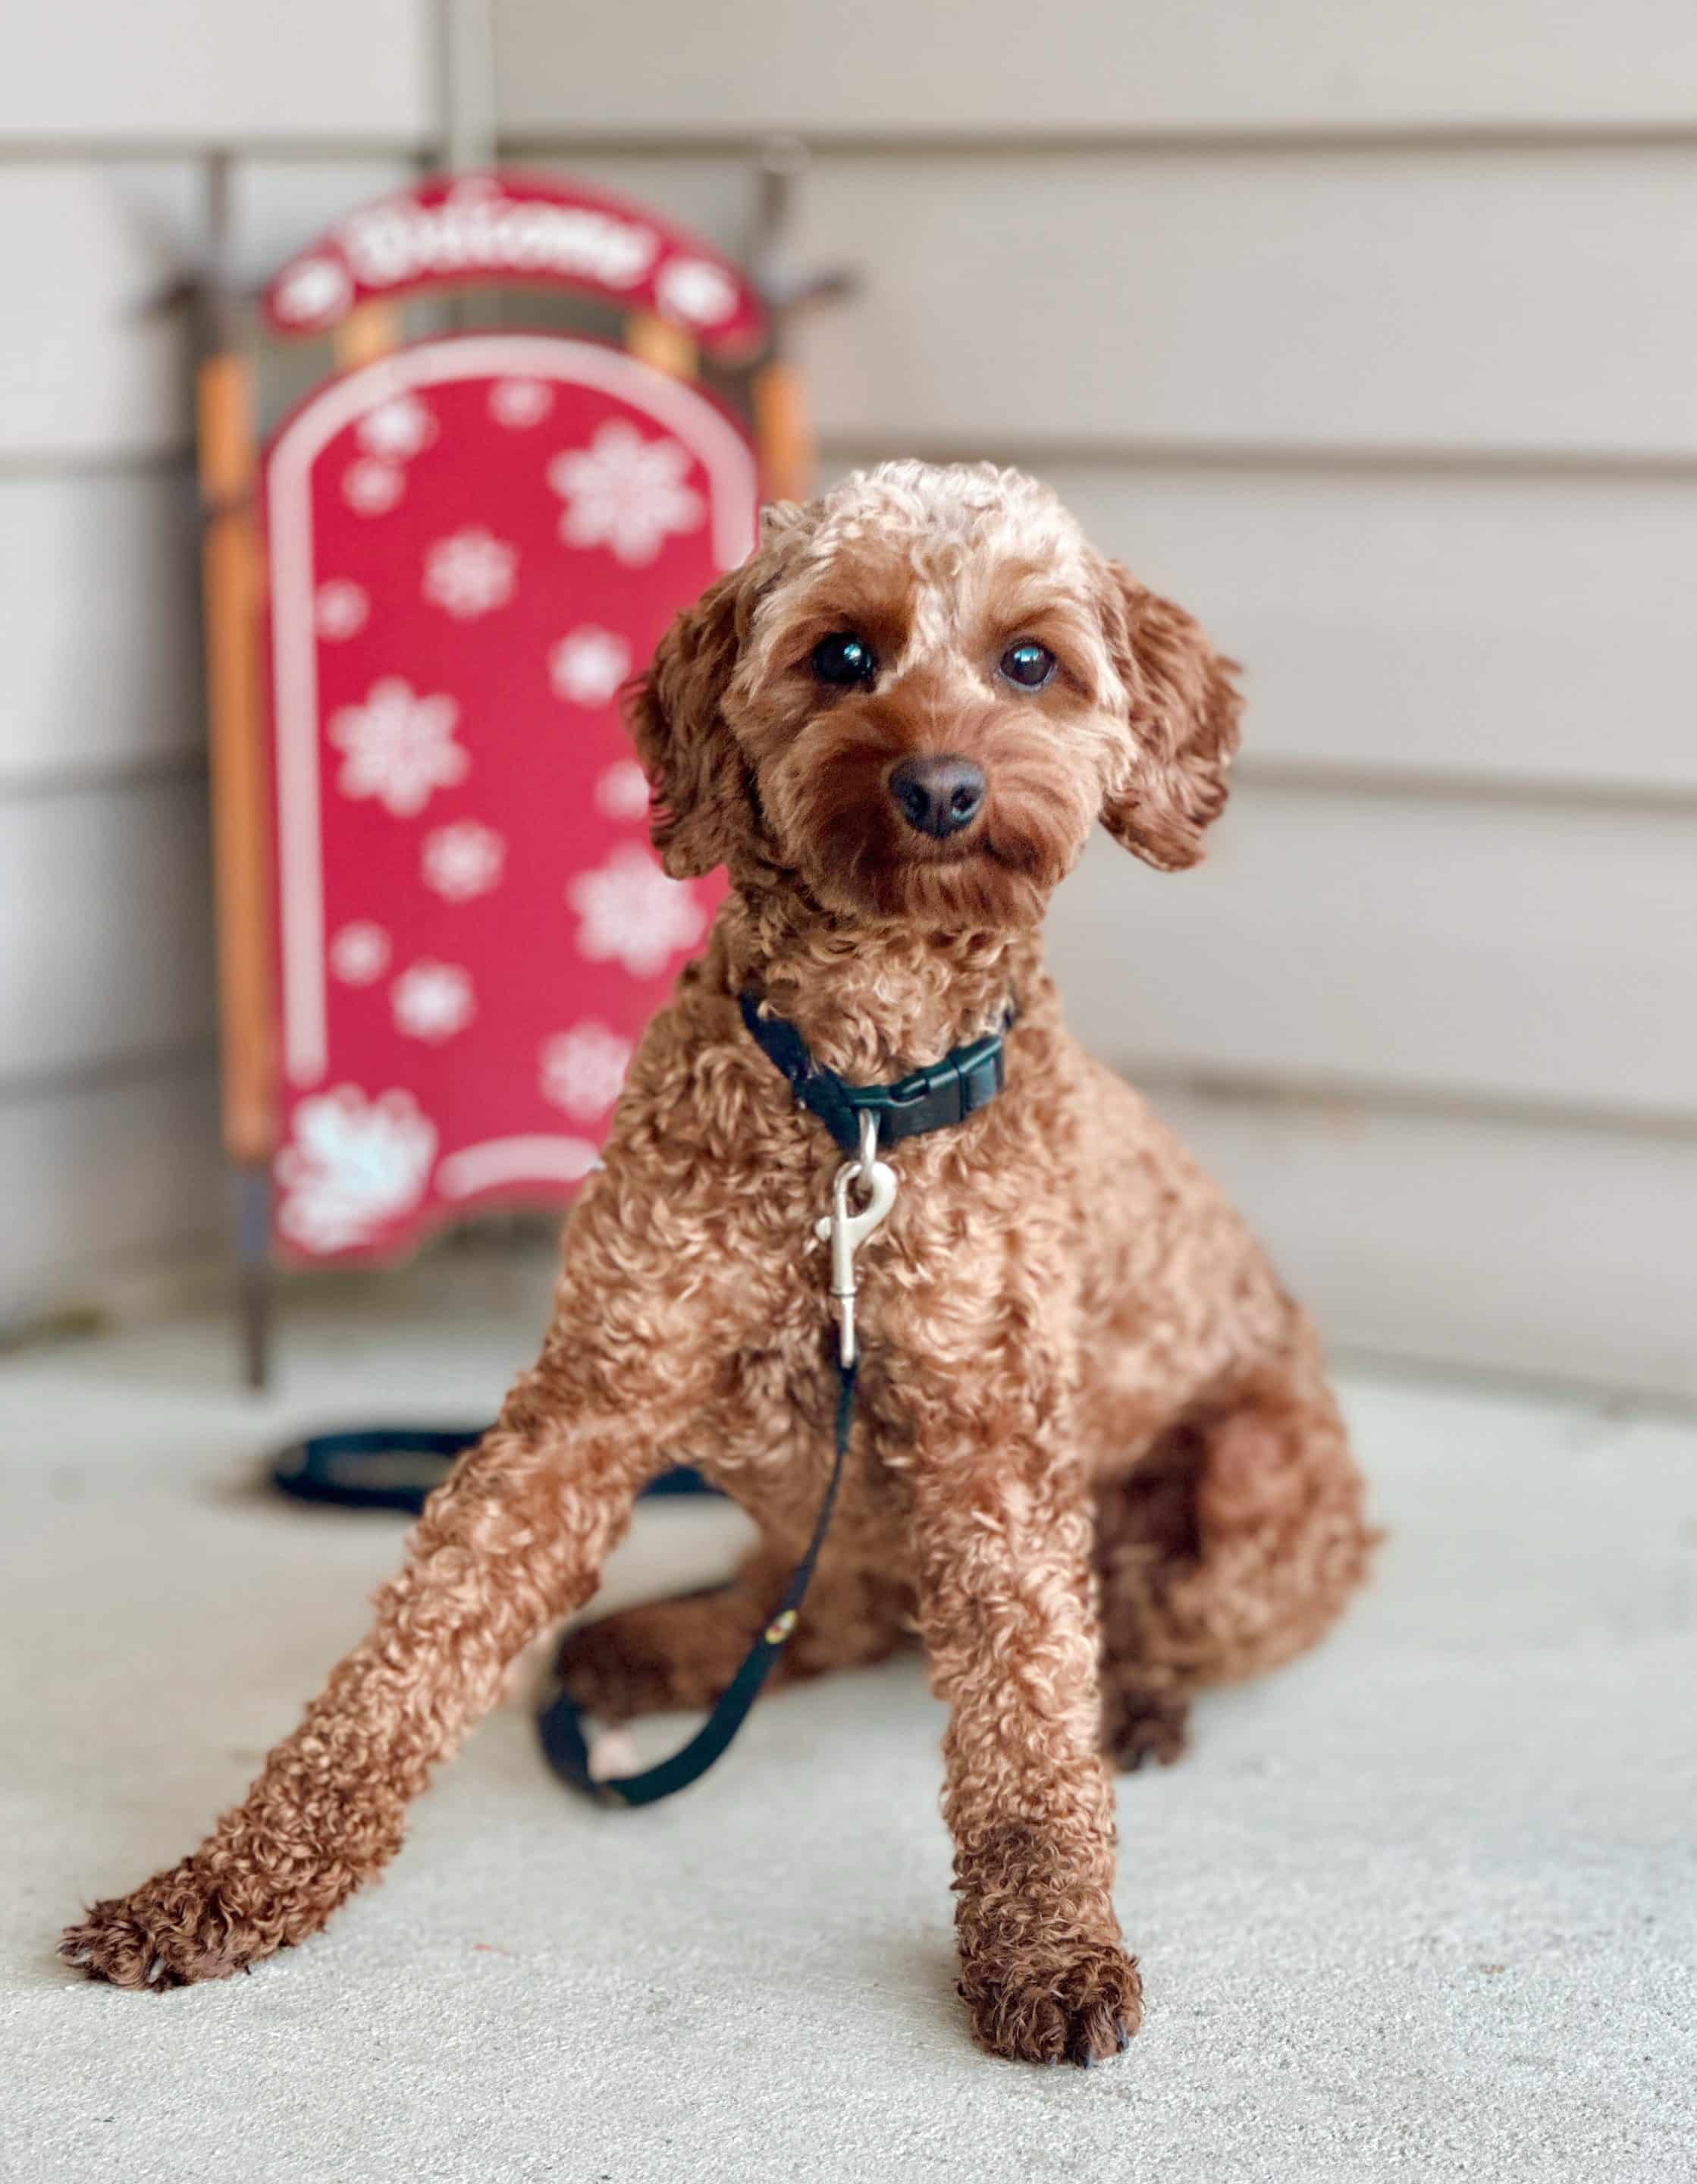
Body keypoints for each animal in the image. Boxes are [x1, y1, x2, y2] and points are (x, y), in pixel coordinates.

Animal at [59, 456, 1371, 2061]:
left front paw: (1051, 1944)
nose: (939, 788)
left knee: (1112, 1628)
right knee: (835, 1606)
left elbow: (1023, 1724)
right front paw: (225, 1882)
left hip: (1251, 1475)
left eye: (1028, 662)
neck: (855, 1110)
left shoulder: (994, 1451)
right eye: (843, 654)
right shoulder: (593, 1396)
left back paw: (1135, 1701)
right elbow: (409, 1657)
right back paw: (666, 1645)